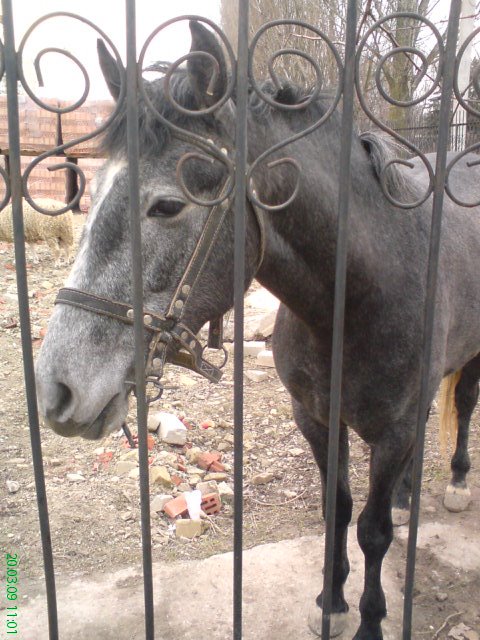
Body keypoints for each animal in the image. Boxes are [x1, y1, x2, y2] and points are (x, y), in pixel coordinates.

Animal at [34, 20, 480, 640]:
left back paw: (457, 482)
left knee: (464, 400)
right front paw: (331, 601)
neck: (362, 296)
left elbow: (373, 533)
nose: (56, 390)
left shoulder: (392, 432)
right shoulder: (316, 420)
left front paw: (369, 619)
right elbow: (338, 510)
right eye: (91, 195)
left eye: (166, 206)